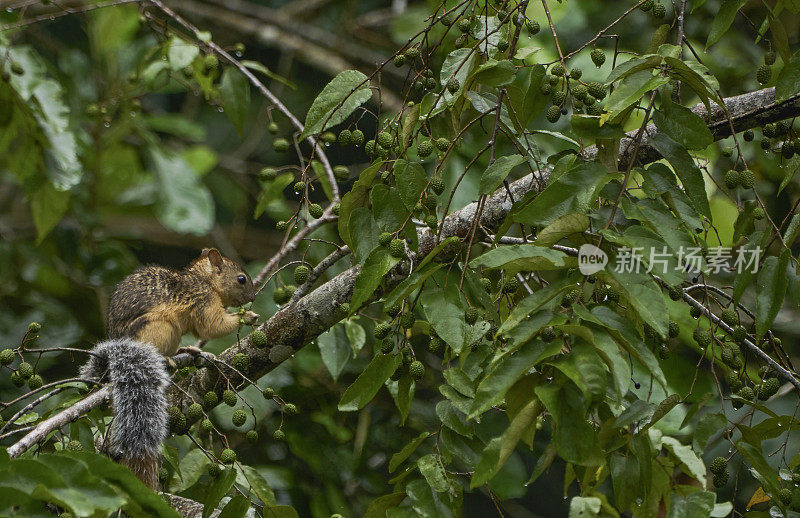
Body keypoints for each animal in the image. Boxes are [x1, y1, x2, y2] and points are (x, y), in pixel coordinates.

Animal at [80, 249, 258, 492]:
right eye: (241, 279)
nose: (254, 297)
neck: (206, 281)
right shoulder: (202, 301)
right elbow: (213, 326)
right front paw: (246, 316)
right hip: (160, 328)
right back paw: (165, 358)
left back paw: (187, 350)